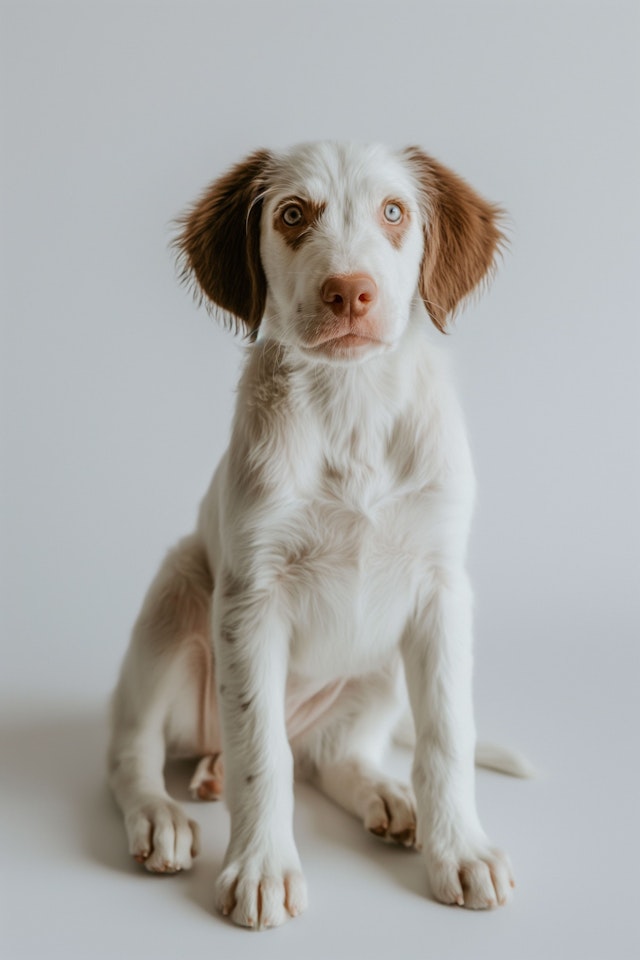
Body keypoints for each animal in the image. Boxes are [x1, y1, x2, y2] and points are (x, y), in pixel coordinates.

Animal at [107, 142, 528, 928]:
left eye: (394, 212)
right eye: (293, 215)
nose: (350, 293)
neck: (352, 404)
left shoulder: (441, 591)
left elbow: (445, 737)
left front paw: (460, 850)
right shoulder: (250, 596)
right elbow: (260, 751)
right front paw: (263, 867)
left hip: (380, 671)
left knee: (332, 756)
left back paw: (389, 796)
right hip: (175, 597)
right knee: (134, 751)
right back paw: (161, 815)